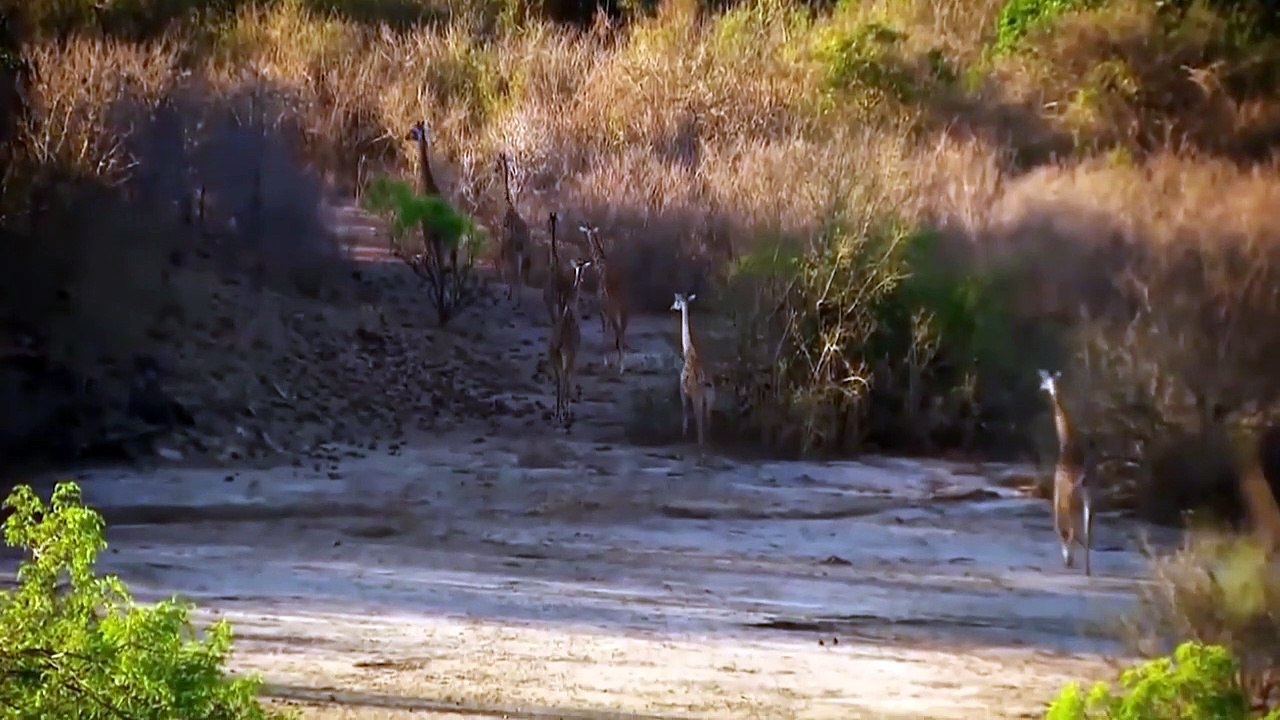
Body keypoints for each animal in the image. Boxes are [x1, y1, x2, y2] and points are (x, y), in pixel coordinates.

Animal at [548, 258, 592, 427]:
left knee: (558, 381)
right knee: (565, 379)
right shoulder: (574, 355)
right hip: (567, 357)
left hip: (553, 358)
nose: (582, 279)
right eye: (583, 269)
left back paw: (557, 413)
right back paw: (564, 414)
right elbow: (570, 378)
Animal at [580, 223, 629, 373]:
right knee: (621, 332)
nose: (586, 235)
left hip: (614, 313)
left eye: (587, 231)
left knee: (618, 331)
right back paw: (621, 364)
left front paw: (606, 361)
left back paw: (621, 367)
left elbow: (604, 332)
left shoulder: (602, 309)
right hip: (625, 313)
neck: (601, 267)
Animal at [671, 293, 716, 448]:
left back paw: (700, 444)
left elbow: (684, 411)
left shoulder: (682, 392)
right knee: (708, 420)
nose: (671, 307)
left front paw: (683, 435)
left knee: (699, 420)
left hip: (698, 398)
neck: (689, 352)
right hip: (710, 399)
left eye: (676, 301)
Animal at [1039, 369, 1094, 576]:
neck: (1067, 442)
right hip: (1087, 499)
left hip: (1069, 499)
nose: (1042, 387)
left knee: (1068, 529)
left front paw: (1068, 558)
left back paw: (1069, 561)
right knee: (1086, 532)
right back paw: (1087, 569)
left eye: (1046, 381)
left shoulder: (1057, 490)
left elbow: (1059, 525)